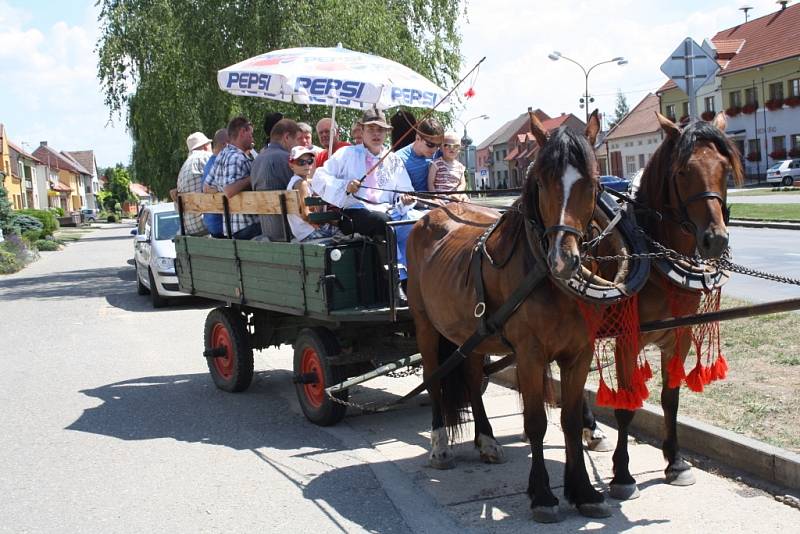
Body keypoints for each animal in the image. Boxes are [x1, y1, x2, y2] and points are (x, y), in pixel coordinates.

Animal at [410, 110, 608, 524]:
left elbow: (568, 420)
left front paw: (583, 490)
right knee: (433, 380)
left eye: (594, 183)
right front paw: (543, 495)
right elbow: (536, 422)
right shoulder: (531, 354)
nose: (564, 259)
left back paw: (485, 439)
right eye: (543, 181)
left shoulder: (579, 352)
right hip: (425, 325)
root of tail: (431, 214)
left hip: (470, 334)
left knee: (471, 379)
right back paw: (439, 445)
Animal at [596, 113, 748, 502]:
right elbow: (626, 407)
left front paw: (675, 462)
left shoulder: (679, 334)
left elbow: (671, 398)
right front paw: (622, 474)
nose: (715, 240)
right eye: (682, 171)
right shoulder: (627, 339)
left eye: (725, 168)